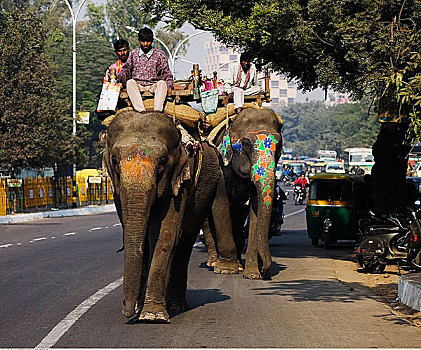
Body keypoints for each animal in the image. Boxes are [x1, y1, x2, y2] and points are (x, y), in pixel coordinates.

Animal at [103, 109, 238, 322]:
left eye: (163, 161)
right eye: (115, 160)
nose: (128, 311)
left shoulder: (181, 182)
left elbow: (165, 234)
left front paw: (151, 315)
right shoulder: (117, 190)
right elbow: (136, 234)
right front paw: (143, 308)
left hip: (216, 177)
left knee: (188, 237)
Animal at [204, 108, 282, 280]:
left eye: (279, 144)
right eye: (246, 143)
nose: (266, 272)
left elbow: (255, 208)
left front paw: (252, 274)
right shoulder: (220, 168)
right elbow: (220, 204)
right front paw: (225, 270)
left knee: (238, 218)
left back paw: (239, 265)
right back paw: (213, 262)